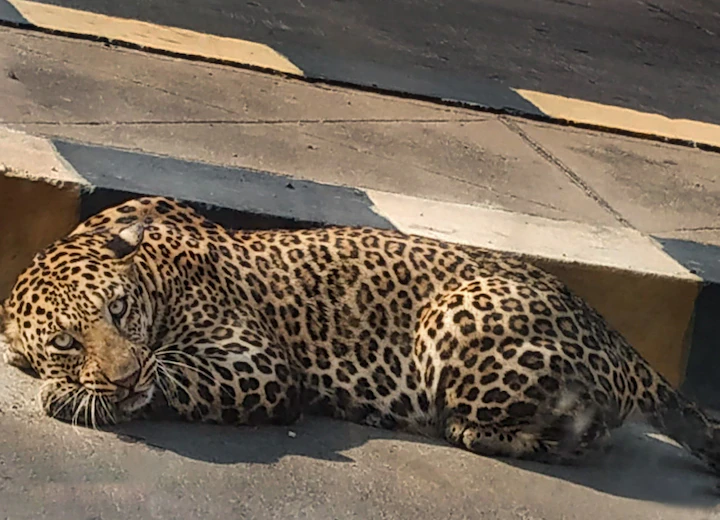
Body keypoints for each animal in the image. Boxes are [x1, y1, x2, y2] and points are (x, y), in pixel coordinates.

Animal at [2, 196, 719, 471]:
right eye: (64, 342)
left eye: (119, 309)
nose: (123, 377)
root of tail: (615, 337)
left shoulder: (256, 364)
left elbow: (173, 378)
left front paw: (74, 397)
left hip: (452, 319)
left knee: (584, 434)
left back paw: (469, 431)